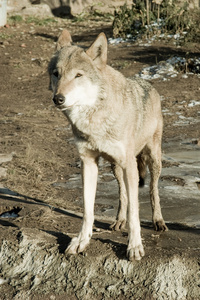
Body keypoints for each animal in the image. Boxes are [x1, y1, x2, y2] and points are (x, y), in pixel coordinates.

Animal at [48, 29, 167, 262]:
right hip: (115, 166)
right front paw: (81, 241)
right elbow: (88, 210)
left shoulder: (129, 164)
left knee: (153, 190)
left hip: (151, 159)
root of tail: (148, 83)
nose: (58, 99)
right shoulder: (88, 162)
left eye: (78, 75)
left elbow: (135, 212)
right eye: (56, 74)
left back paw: (158, 220)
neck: (94, 119)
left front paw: (134, 246)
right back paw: (119, 220)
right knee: (122, 194)